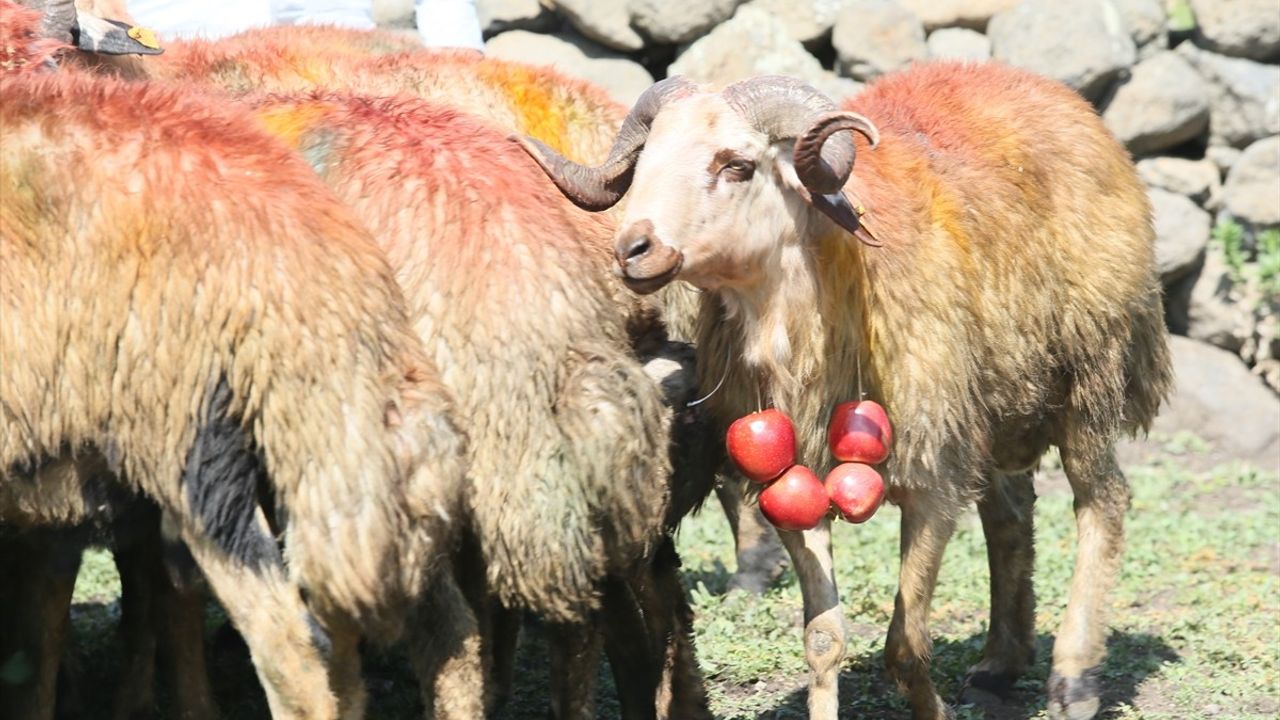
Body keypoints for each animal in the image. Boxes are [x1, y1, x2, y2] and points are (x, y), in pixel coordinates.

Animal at [517, 63, 1172, 717]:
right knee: (1010, 516)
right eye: (646, 161)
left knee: (1102, 502)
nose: (633, 250)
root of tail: (1055, 92)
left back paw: (1075, 680)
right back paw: (999, 666)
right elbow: (823, 639)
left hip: (1092, 373)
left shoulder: (933, 477)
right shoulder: (792, 479)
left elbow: (905, 645)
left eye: (736, 165)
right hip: (997, 404)